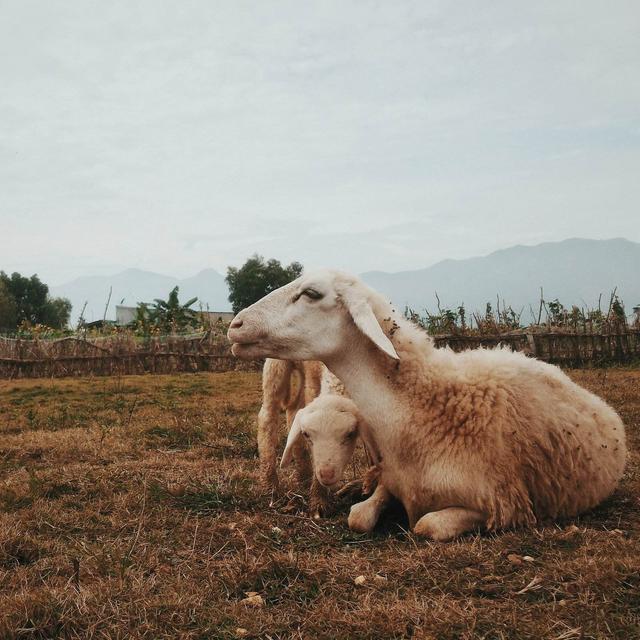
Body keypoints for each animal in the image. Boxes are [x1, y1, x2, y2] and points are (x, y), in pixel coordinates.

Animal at [228, 268, 628, 540]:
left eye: (311, 293)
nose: (235, 324)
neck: (423, 407)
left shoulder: (501, 505)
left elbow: (425, 525)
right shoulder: (392, 479)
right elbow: (359, 517)